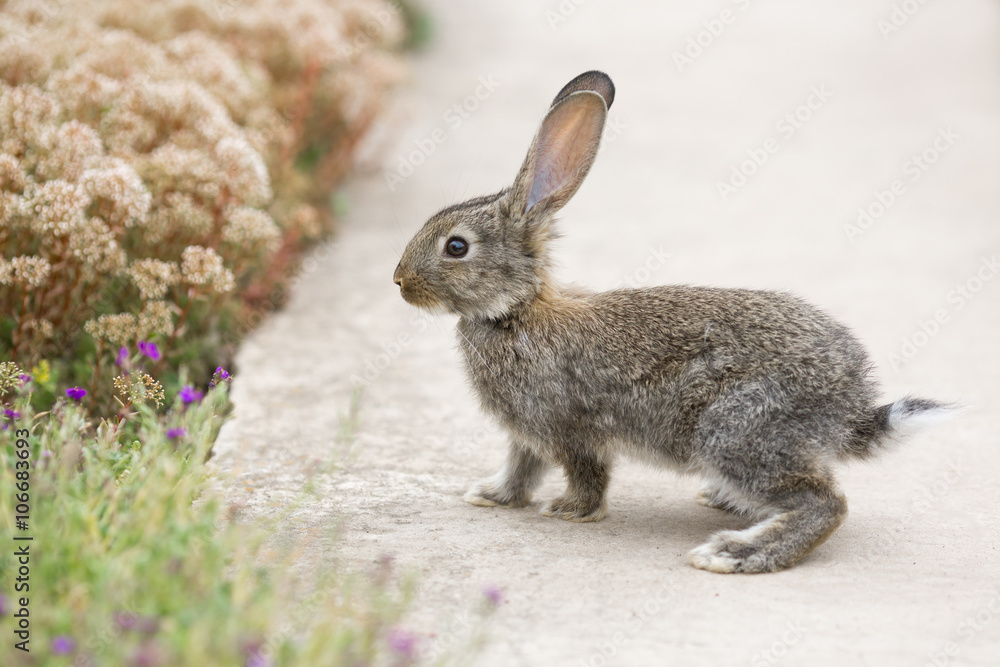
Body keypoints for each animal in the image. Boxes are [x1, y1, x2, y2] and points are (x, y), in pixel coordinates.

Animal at [392, 71, 953, 573]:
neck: (515, 311)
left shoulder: (569, 426)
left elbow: (584, 473)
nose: (399, 281)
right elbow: (521, 467)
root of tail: (849, 402)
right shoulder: (526, 433)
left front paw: (571, 512)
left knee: (825, 503)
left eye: (456, 247)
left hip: (735, 430)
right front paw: (492, 496)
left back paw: (735, 552)